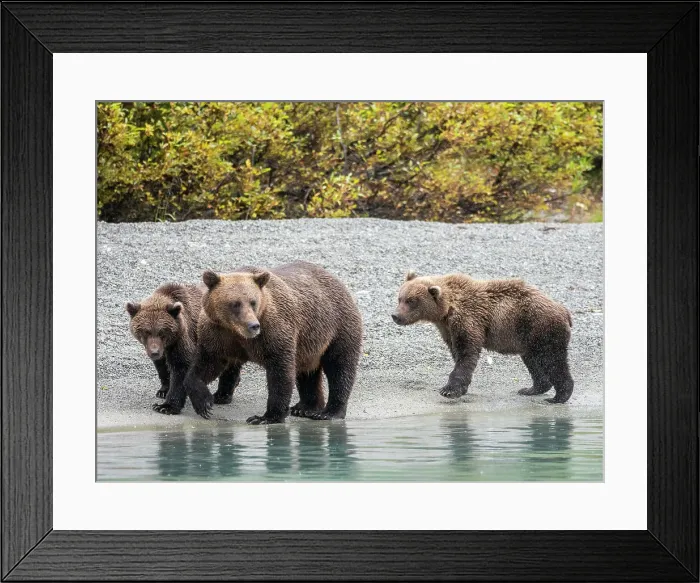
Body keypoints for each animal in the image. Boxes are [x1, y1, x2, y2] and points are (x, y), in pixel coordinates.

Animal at [156, 261, 364, 424]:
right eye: (235, 303)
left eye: (253, 301)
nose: (253, 326)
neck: (237, 332)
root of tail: (337, 280)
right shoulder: (217, 334)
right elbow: (204, 365)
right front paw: (203, 403)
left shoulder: (274, 331)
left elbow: (280, 371)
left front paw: (267, 416)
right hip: (310, 343)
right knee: (307, 373)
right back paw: (305, 407)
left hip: (338, 326)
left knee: (340, 367)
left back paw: (329, 412)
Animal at [391, 270, 574, 404]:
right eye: (400, 298)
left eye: (411, 301)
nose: (395, 315)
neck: (446, 311)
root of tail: (563, 310)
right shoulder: (447, 329)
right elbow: (456, 352)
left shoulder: (468, 320)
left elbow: (466, 353)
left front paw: (449, 390)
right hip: (528, 339)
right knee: (533, 361)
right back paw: (531, 389)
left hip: (541, 329)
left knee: (553, 361)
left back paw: (559, 396)